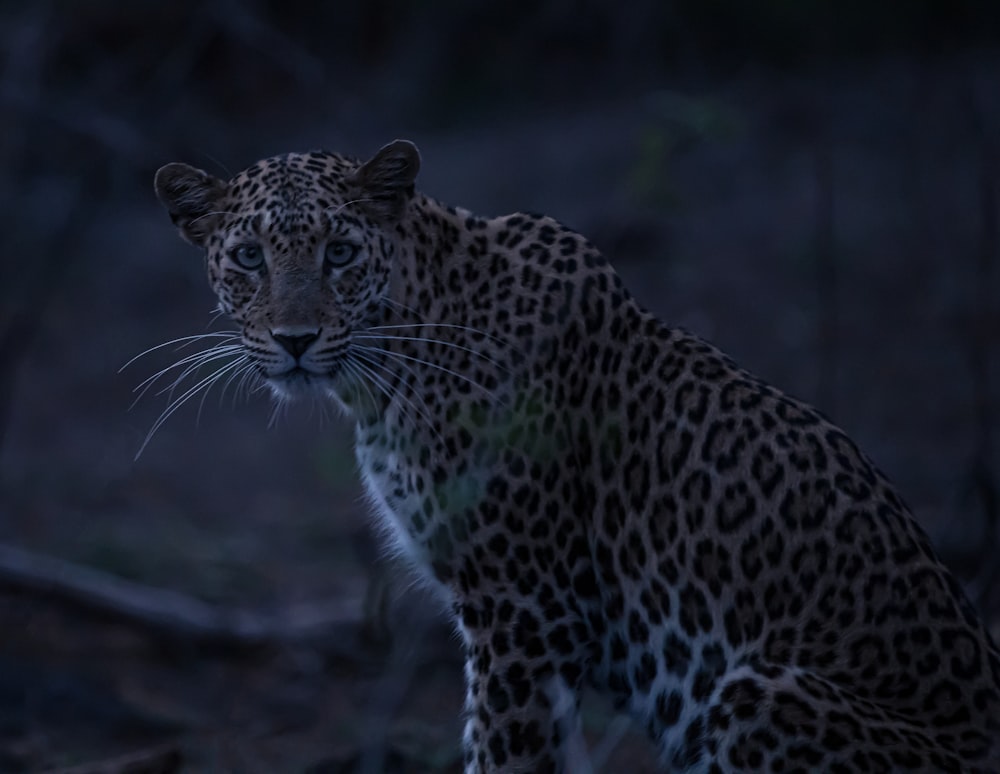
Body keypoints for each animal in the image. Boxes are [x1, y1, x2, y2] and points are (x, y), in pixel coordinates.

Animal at [152, 141, 1000, 774]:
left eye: (339, 253)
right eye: (250, 257)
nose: (295, 339)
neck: (388, 365)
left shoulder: (527, 605)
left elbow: (503, 753)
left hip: (759, 693)